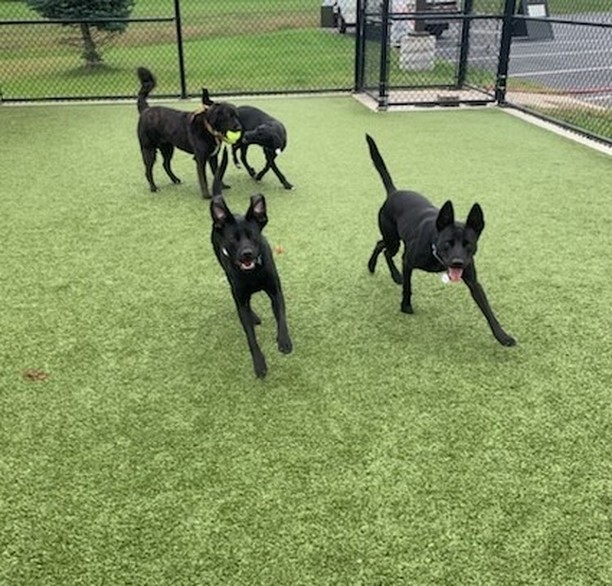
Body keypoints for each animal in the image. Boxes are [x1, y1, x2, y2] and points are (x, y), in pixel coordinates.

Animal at [137, 67, 243, 197]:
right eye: (229, 116)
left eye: (237, 116)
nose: (239, 128)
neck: (208, 127)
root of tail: (145, 109)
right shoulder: (200, 159)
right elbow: (203, 178)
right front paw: (206, 195)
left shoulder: (213, 157)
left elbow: (217, 174)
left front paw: (221, 186)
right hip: (149, 149)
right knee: (148, 170)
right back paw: (153, 187)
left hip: (167, 148)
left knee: (165, 164)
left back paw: (175, 179)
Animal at [366, 133, 512, 346]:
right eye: (447, 243)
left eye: (469, 245)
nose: (458, 263)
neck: (435, 249)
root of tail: (394, 192)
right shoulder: (408, 261)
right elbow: (408, 287)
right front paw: (406, 306)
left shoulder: (472, 280)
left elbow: (487, 309)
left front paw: (502, 336)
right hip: (393, 239)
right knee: (385, 249)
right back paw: (389, 273)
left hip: (394, 239)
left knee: (380, 244)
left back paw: (379, 269)